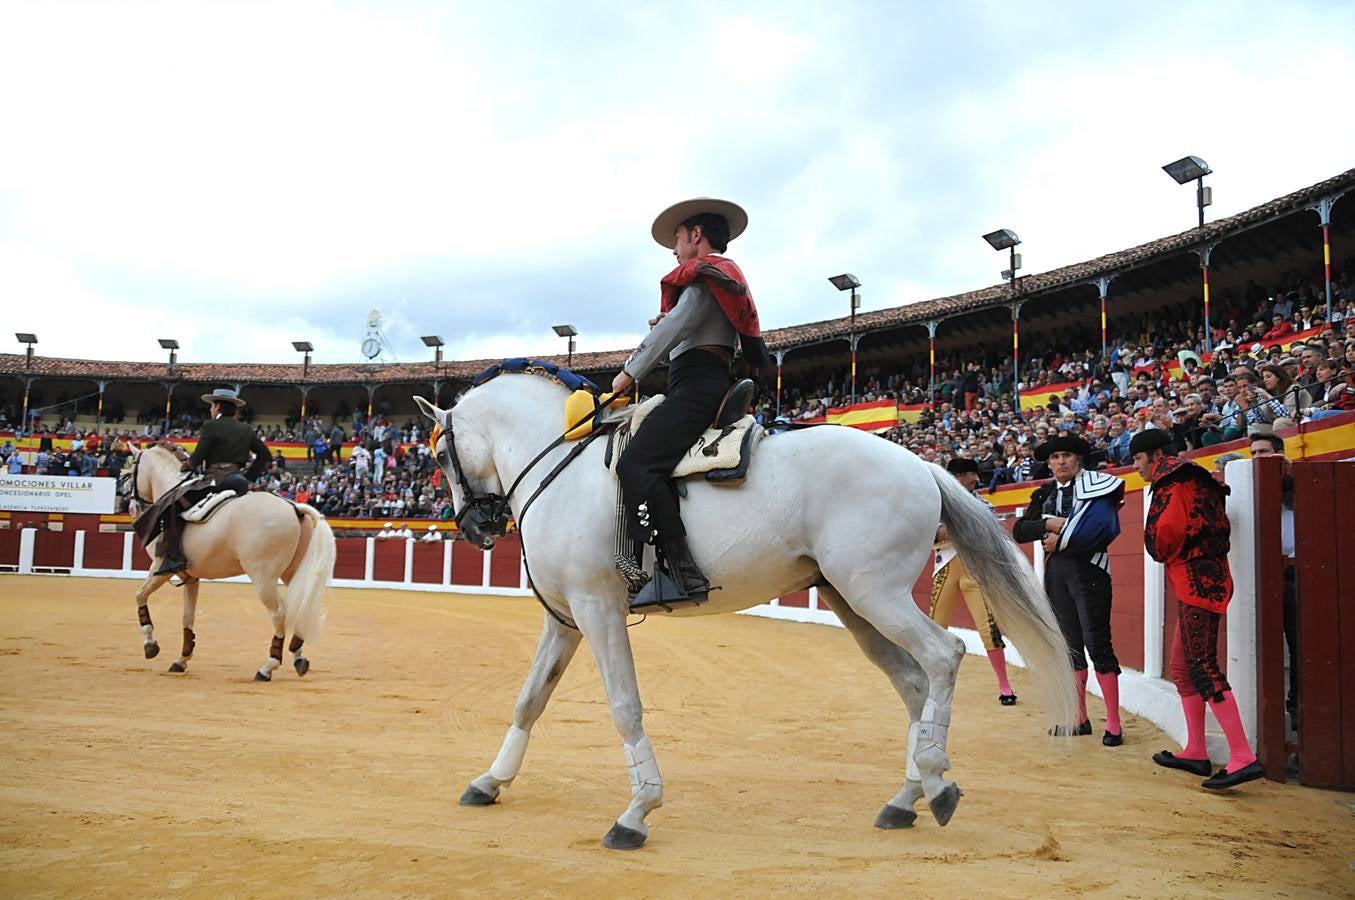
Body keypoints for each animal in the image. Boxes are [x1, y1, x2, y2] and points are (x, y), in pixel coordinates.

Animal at [126, 441, 334, 683]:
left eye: (131, 471)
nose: (132, 507)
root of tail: (295, 508)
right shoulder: (191, 578)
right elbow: (188, 617)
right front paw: (181, 659)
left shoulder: (161, 569)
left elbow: (140, 595)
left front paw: (150, 645)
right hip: (293, 573)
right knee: (300, 605)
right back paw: (299, 658)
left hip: (263, 577)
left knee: (279, 612)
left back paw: (267, 667)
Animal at [411, 371, 1078, 851]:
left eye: (439, 457)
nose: (473, 528)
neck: (558, 468)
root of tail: (921, 464)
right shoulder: (565, 617)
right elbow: (531, 698)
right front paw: (490, 781)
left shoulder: (597, 608)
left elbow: (625, 706)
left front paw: (637, 812)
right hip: (851, 599)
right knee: (913, 680)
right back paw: (905, 797)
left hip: (876, 593)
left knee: (945, 653)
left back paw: (938, 783)